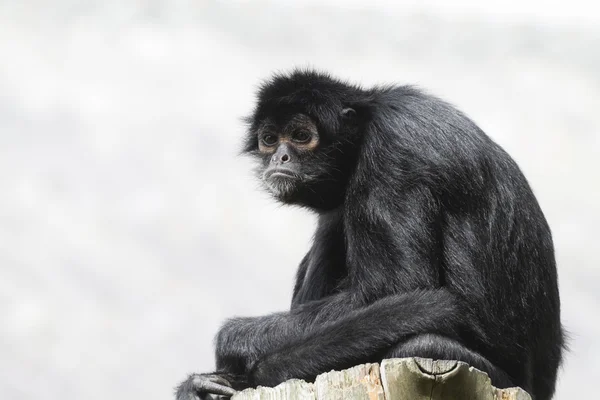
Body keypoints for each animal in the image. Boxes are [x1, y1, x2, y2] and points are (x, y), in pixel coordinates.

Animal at [176, 69, 564, 400]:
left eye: (301, 136)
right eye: (269, 140)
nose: (280, 157)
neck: (370, 116)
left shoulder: (394, 148)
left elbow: (396, 288)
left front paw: (232, 345)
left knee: (417, 344)